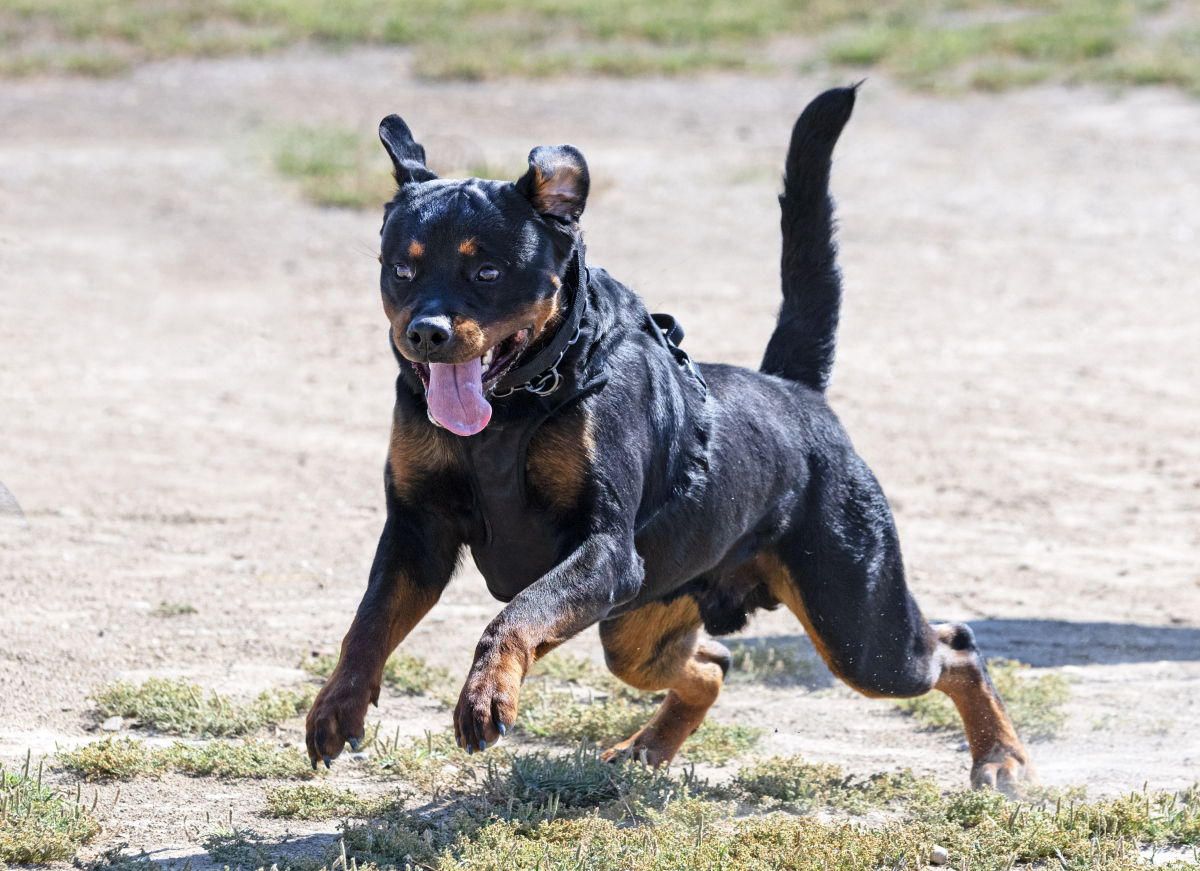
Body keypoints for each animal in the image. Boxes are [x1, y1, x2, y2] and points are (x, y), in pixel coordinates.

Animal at [307, 85, 1041, 796]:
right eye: (401, 269)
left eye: (486, 272)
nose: (425, 332)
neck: (513, 409)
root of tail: (794, 390)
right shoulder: (418, 533)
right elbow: (368, 622)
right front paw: (337, 703)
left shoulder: (605, 550)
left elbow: (517, 613)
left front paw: (487, 694)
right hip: (643, 621)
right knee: (711, 660)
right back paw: (647, 748)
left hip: (857, 625)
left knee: (955, 647)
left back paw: (1001, 759)